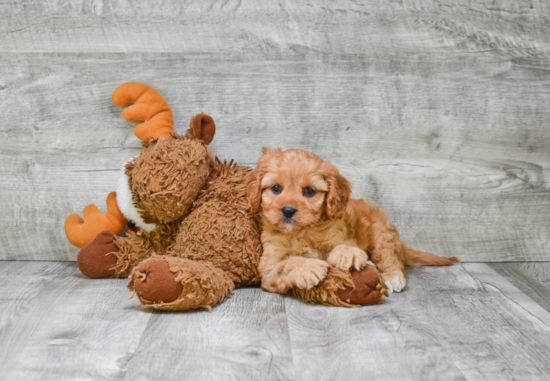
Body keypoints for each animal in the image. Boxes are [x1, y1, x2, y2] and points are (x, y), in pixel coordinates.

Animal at [246, 148, 462, 294]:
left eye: (309, 191)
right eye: (276, 188)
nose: (288, 211)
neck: (303, 233)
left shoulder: (341, 234)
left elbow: (346, 246)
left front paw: (347, 253)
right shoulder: (268, 268)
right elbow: (287, 264)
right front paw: (308, 266)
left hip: (379, 232)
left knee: (390, 257)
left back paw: (392, 277)